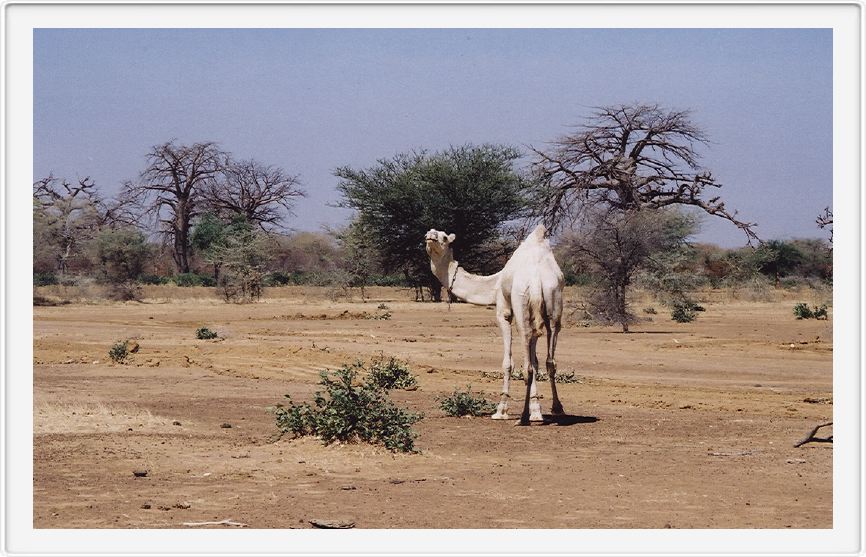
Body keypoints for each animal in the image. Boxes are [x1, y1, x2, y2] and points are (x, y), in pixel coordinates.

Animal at [422, 224, 564, 424]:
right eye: (427, 234)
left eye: (444, 237)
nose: (430, 236)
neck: (494, 283)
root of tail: (536, 279)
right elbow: (536, 361)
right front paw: (537, 411)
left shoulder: (503, 310)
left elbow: (509, 363)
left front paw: (501, 410)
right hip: (553, 304)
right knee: (550, 357)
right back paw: (557, 407)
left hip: (521, 304)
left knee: (527, 361)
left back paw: (522, 417)